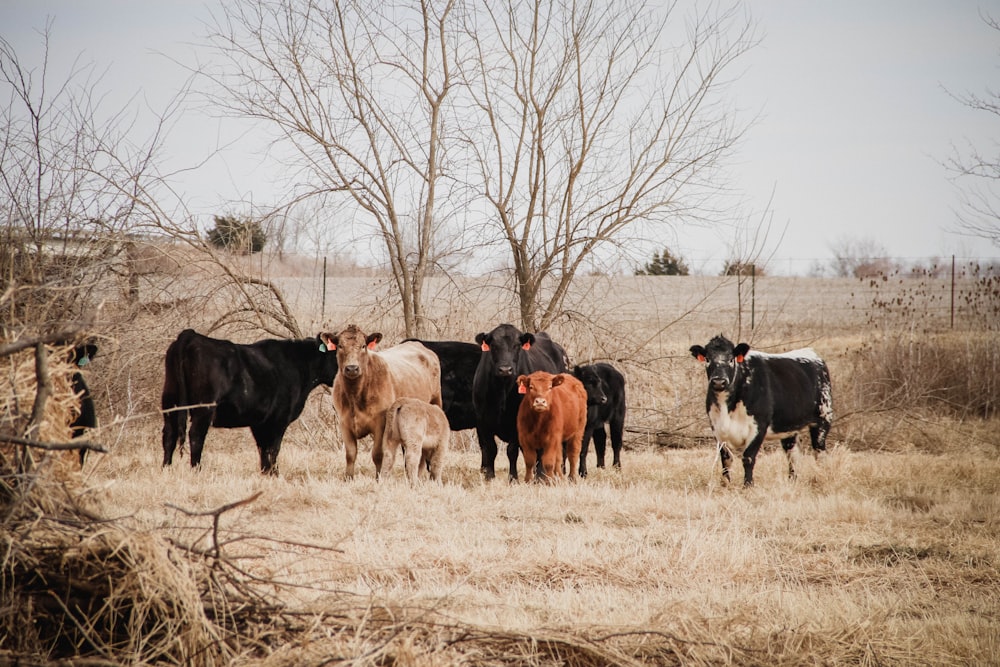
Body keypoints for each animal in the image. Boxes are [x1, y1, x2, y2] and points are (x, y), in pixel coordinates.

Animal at [161, 328, 340, 474]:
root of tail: (191, 335)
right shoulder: (279, 418)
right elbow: (273, 448)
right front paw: (275, 474)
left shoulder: (260, 421)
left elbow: (263, 449)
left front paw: (266, 473)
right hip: (204, 407)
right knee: (196, 435)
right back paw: (196, 470)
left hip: (170, 400)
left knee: (169, 434)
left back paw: (166, 469)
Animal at [324, 324, 442, 478]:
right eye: (340, 346)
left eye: (363, 346)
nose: (352, 368)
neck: (355, 395)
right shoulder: (344, 422)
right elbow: (350, 454)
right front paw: (348, 478)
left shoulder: (381, 423)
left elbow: (377, 454)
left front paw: (378, 478)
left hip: (436, 402)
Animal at [472, 324, 568, 480]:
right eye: (494, 345)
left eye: (517, 345)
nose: (505, 369)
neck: (502, 392)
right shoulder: (483, 421)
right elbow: (490, 449)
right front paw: (489, 477)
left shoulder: (517, 423)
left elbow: (512, 451)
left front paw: (513, 478)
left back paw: (546, 476)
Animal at [688, 336, 836, 488]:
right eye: (707, 359)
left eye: (731, 359)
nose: (719, 381)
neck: (727, 408)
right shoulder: (717, 428)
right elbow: (726, 459)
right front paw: (725, 484)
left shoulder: (759, 426)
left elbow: (748, 457)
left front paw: (747, 485)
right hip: (789, 427)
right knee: (793, 454)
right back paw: (792, 481)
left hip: (824, 417)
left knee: (819, 452)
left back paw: (821, 476)